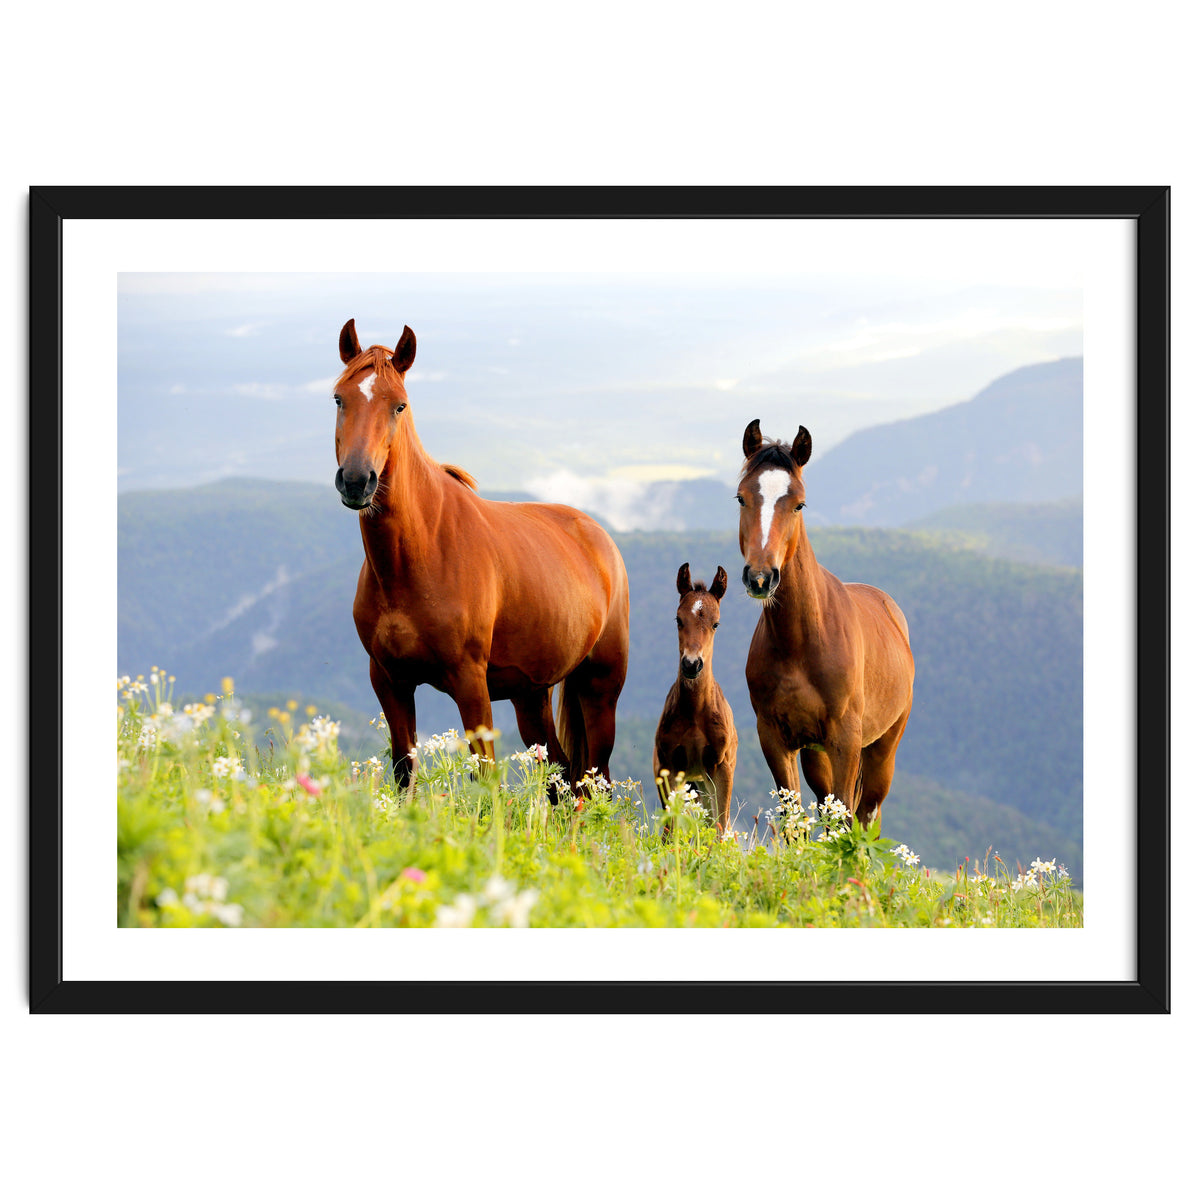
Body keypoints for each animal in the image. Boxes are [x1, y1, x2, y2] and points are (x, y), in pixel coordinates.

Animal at [332, 319, 629, 792]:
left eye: (399, 406)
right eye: (340, 398)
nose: (358, 480)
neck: (417, 557)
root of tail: (600, 537)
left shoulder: (470, 682)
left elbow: (486, 778)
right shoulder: (389, 681)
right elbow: (403, 772)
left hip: (600, 688)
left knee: (593, 780)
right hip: (531, 696)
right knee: (561, 775)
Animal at [653, 563, 738, 833]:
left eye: (716, 623)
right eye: (678, 619)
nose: (692, 664)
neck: (695, 712)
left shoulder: (721, 767)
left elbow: (720, 826)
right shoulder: (668, 767)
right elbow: (670, 828)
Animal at [737, 420, 914, 827]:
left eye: (799, 503)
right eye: (741, 498)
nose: (760, 578)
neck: (801, 642)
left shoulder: (845, 740)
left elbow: (847, 817)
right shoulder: (776, 739)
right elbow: (792, 819)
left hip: (882, 748)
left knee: (867, 814)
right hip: (816, 755)